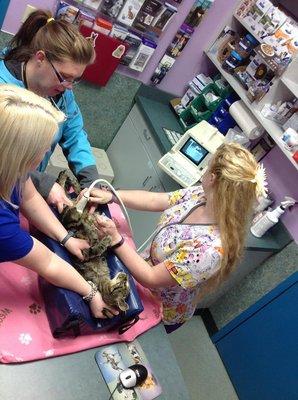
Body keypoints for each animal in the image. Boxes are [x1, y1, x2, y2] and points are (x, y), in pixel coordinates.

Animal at [56, 170, 130, 318]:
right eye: (123, 285)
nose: (125, 276)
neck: (103, 280)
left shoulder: (85, 254)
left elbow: (97, 247)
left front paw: (106, 239)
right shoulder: (87, 252)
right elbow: (97, 245)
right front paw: (104, 237)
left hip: (69, 219)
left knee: (66, 203)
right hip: (79, 207)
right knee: (75, 193)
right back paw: (70, 179)